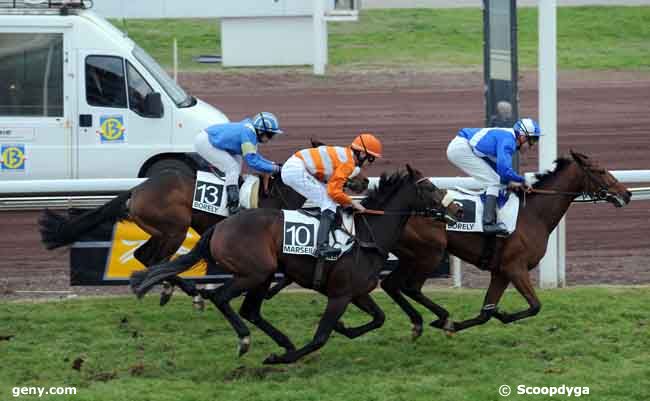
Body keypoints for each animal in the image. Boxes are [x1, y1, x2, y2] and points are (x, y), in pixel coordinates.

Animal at [130, 165, 448, 362]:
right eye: (431, 188)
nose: (452, 209)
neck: (368, 233)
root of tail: (220, 227)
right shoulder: (340, 294)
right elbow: (320, 337)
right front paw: (281, 359)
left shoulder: (356, 292)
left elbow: (378, 318)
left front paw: (344, 327)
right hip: (250, 270)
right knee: (220, 297)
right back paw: (246, 339)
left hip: (263, 273)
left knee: (249, 309)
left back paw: (281, 340)